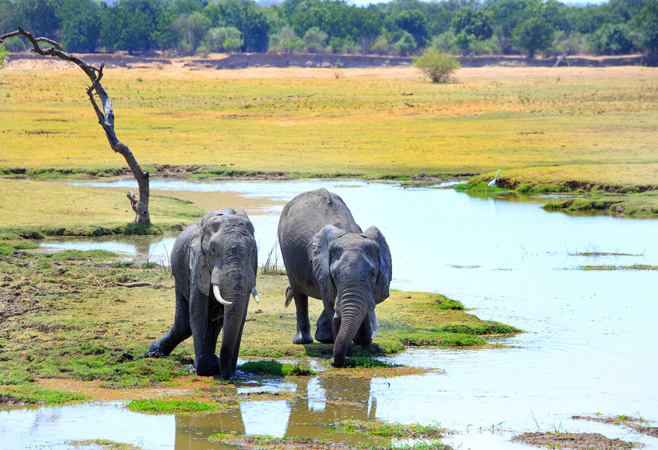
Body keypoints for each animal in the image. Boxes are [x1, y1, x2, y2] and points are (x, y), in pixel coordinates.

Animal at [149, 208, 259, 379]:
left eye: (253, 250)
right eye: (212, 250)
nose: (226, 375)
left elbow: (240, 317)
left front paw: (225, 368)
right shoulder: (197, 261)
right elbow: (198, 312)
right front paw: (206, 369)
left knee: (213, 324)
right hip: (179, 277)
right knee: (184, 325)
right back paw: (154, 352)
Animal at [277, 188, 392, 367]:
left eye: (373, 275)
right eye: (334, 275)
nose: (332, 363)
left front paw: (365, 346)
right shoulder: (322, 270)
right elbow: (331, 305)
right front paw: (349, 356)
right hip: (285, 250)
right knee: (298, 292)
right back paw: (304, 340)